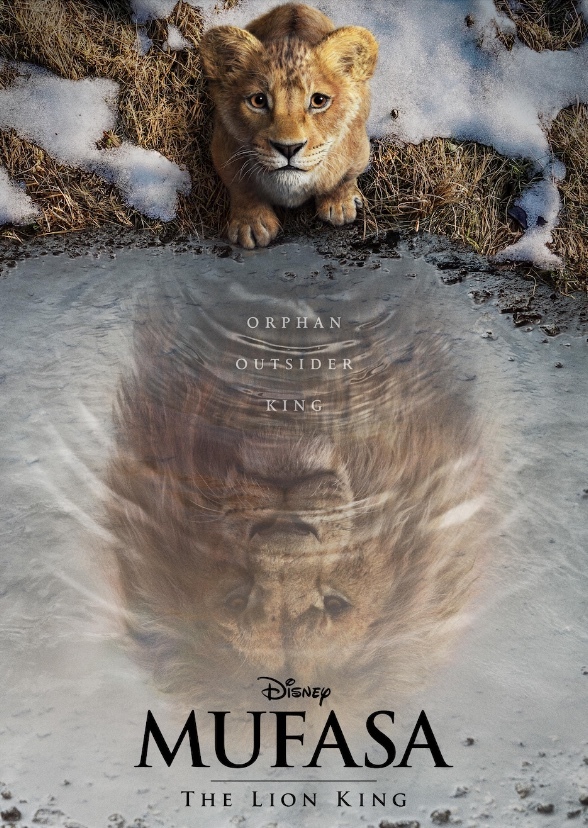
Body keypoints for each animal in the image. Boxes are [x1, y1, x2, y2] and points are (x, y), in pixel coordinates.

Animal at [199, 4, 378, 249]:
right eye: (258, 101)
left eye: (319, 101)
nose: (288, 148)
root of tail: (294, 5)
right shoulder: (223, 148)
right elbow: (242, 187)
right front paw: (251, 225)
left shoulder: (359, 148)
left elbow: (344, 178)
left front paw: (339, 204)